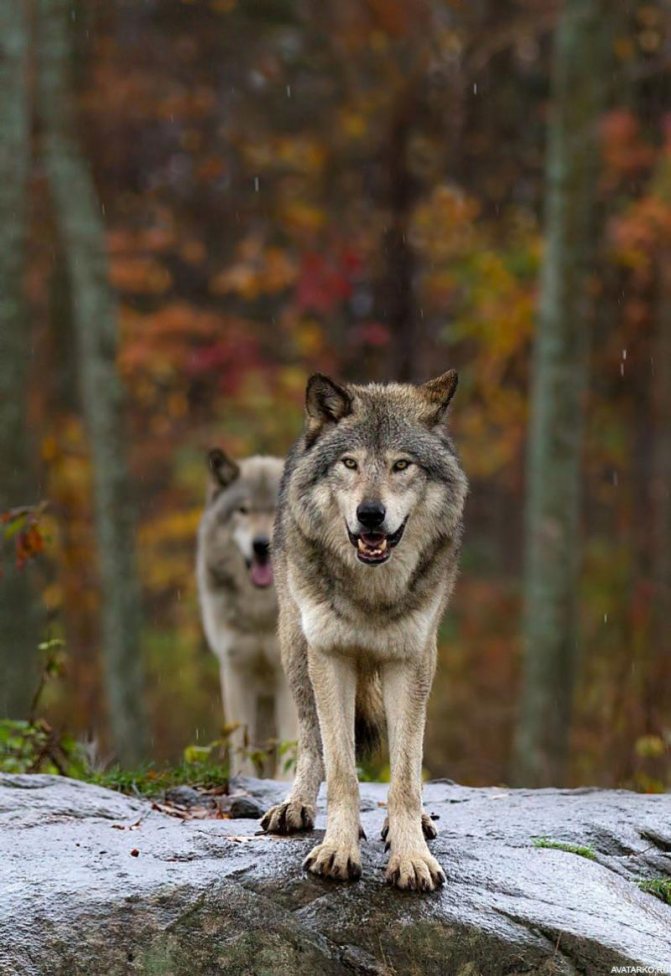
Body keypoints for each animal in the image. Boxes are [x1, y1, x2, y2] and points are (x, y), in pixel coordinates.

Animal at [197, 449, 297, 778]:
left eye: (277, 509)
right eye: (243, 510)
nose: (261, 545)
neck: (261, 612)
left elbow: (291, 740)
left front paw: (285, 781)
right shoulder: (235, 670)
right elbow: (241, 740)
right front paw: (244, 779)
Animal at [260, 371, 468, 891]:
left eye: (401, 465)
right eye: (350, 463)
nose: (370, 514)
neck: (371, 592)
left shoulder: (410, 660)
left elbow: (405, 776)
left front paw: (411, 856)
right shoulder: (330, 656)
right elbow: (342, 771)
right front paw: (337, 849)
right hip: (294, 648)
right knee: (311, 741)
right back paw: (296, 806)